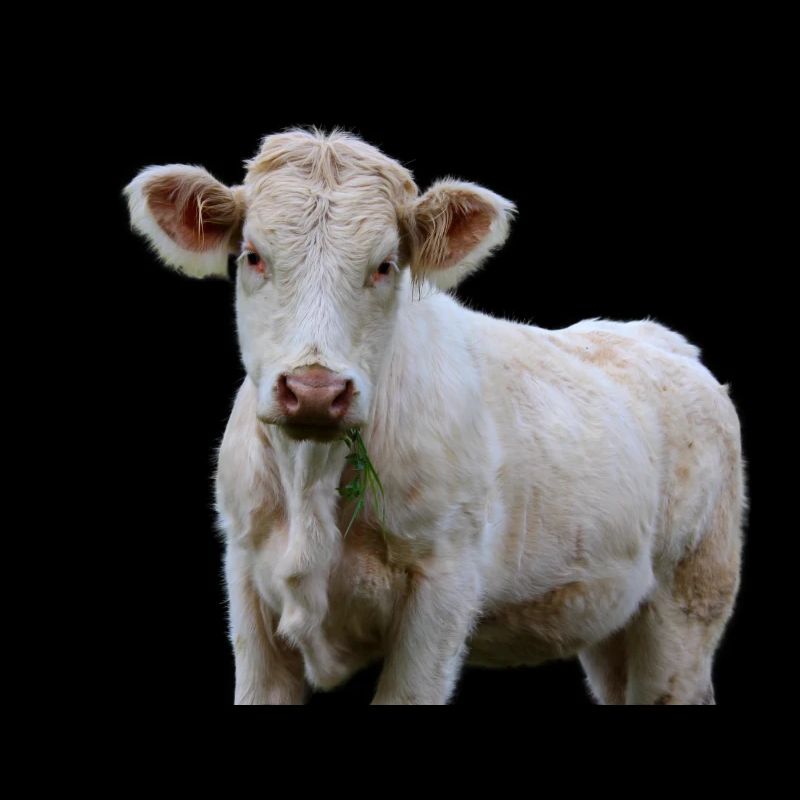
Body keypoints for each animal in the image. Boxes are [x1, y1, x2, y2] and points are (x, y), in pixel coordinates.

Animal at [125, 129, 745, 704]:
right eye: (253, 256)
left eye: (385, 265)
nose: (315, 390)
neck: (311, 483)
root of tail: (655, 337)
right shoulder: (247, 580)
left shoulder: (442, 588)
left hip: (689, 602)